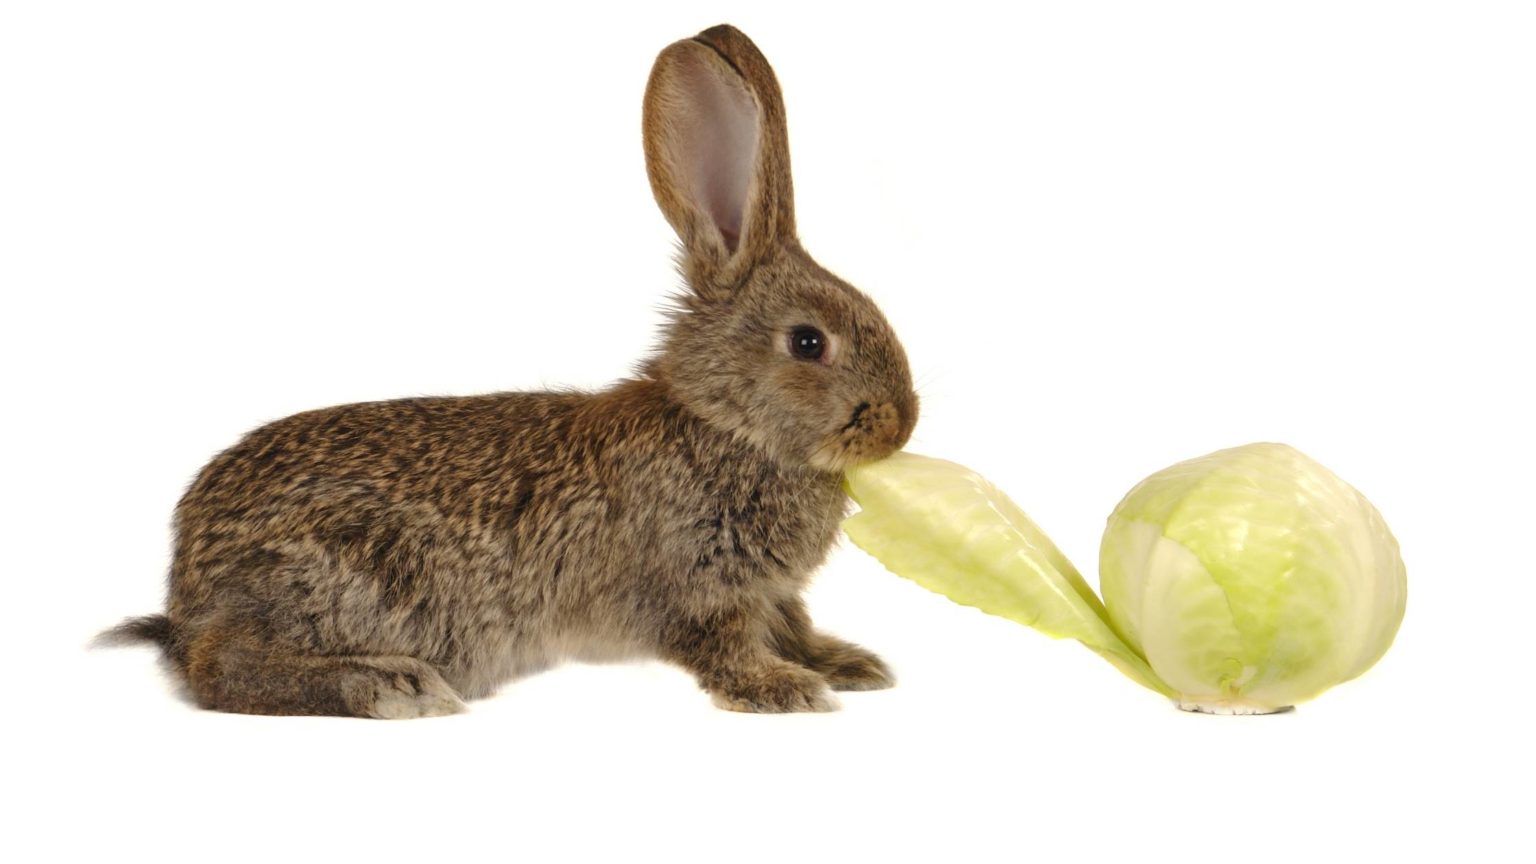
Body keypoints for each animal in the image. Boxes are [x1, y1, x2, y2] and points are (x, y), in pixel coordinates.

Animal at [97, 23, 918, 718]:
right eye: (808, 343)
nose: (900, 425)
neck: (724, 423)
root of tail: (187, 582)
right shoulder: (696, 588)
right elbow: (723, 645)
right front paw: (785, 690)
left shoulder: (773, 595)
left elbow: (795, 623)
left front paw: (849, 665)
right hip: (349, 582)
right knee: (220, 668)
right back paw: (389, 684)